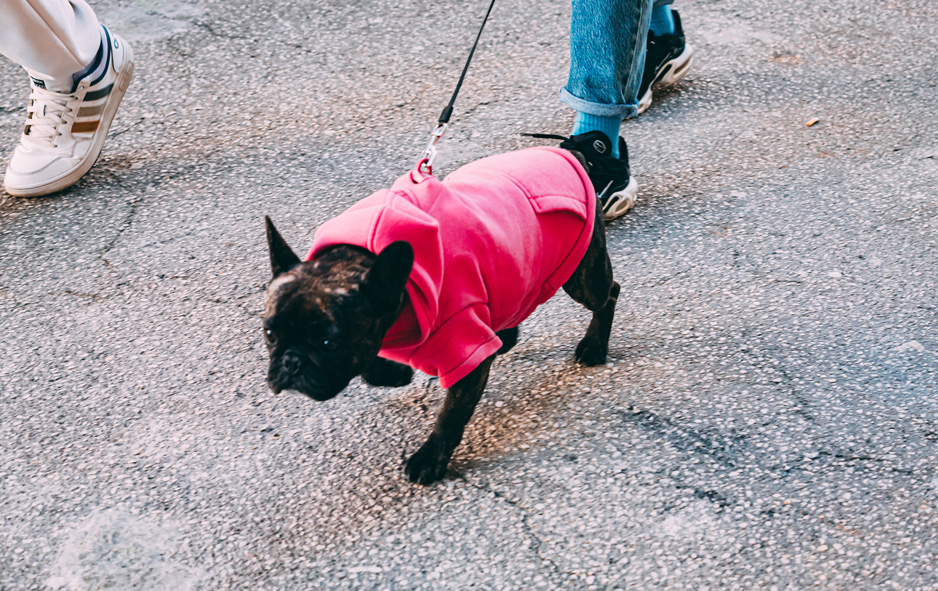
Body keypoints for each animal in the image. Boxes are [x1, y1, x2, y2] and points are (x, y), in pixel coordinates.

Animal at [263, 144, 620, 485]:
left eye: (329, 343)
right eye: (269, 334)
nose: (290, 362)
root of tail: (569, 153)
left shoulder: (466, 349)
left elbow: (450, 416)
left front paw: (429, 459)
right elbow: (374, 365)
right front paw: (393, 372)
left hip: (583, 277)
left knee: (609, 294)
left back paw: (594, 345)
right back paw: (505, 336)